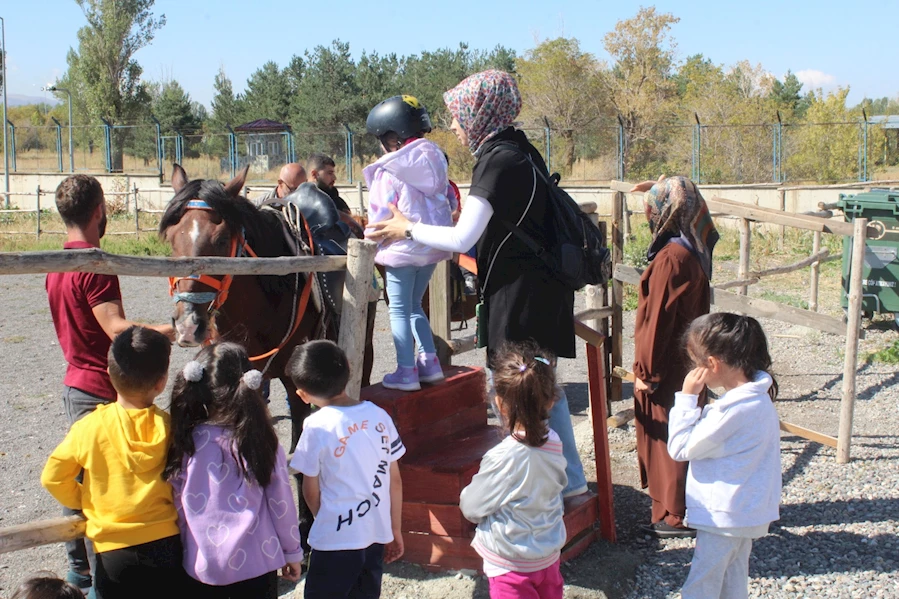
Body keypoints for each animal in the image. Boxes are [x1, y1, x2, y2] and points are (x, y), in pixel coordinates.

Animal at [158, 163, 375, 546]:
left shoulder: (296, 381)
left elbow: (299, 455)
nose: (188, 325)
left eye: (220, 241)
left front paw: (304, 527)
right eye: (172, 239)